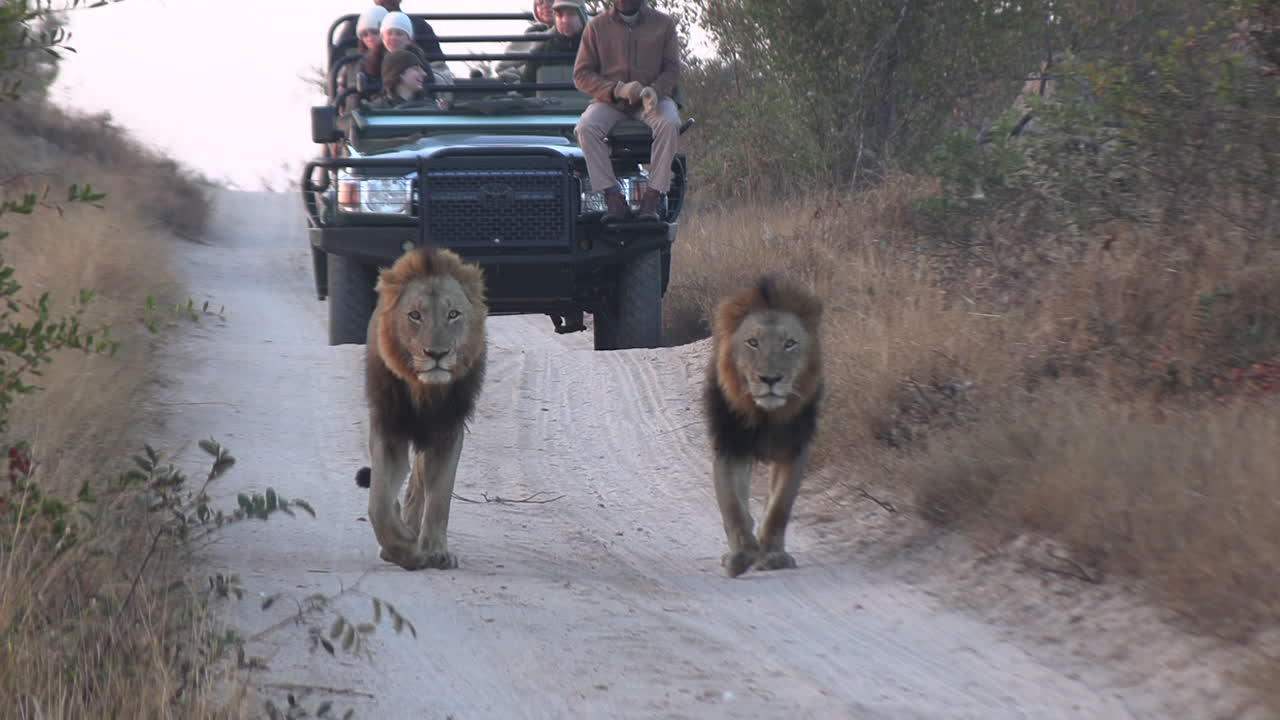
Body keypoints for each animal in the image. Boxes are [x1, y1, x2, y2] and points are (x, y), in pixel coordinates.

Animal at [352, 247, 487, 571]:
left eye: (453, 314)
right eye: (415, 315)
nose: (436, 354)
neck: (423, 390)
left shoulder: (447, 433)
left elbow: (438, 499)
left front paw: (435, 551)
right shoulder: (388, 429)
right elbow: (378, 504)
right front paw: (403, 548)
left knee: (419, 484)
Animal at [703, 275, 823, 578]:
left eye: (790, 343)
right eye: (753, 342)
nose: (770, 379)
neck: (764, 416)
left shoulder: (795, 449)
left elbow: (779, 507)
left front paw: (772, 555)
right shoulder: (729, 446)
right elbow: (732, 506)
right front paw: (742, 554)